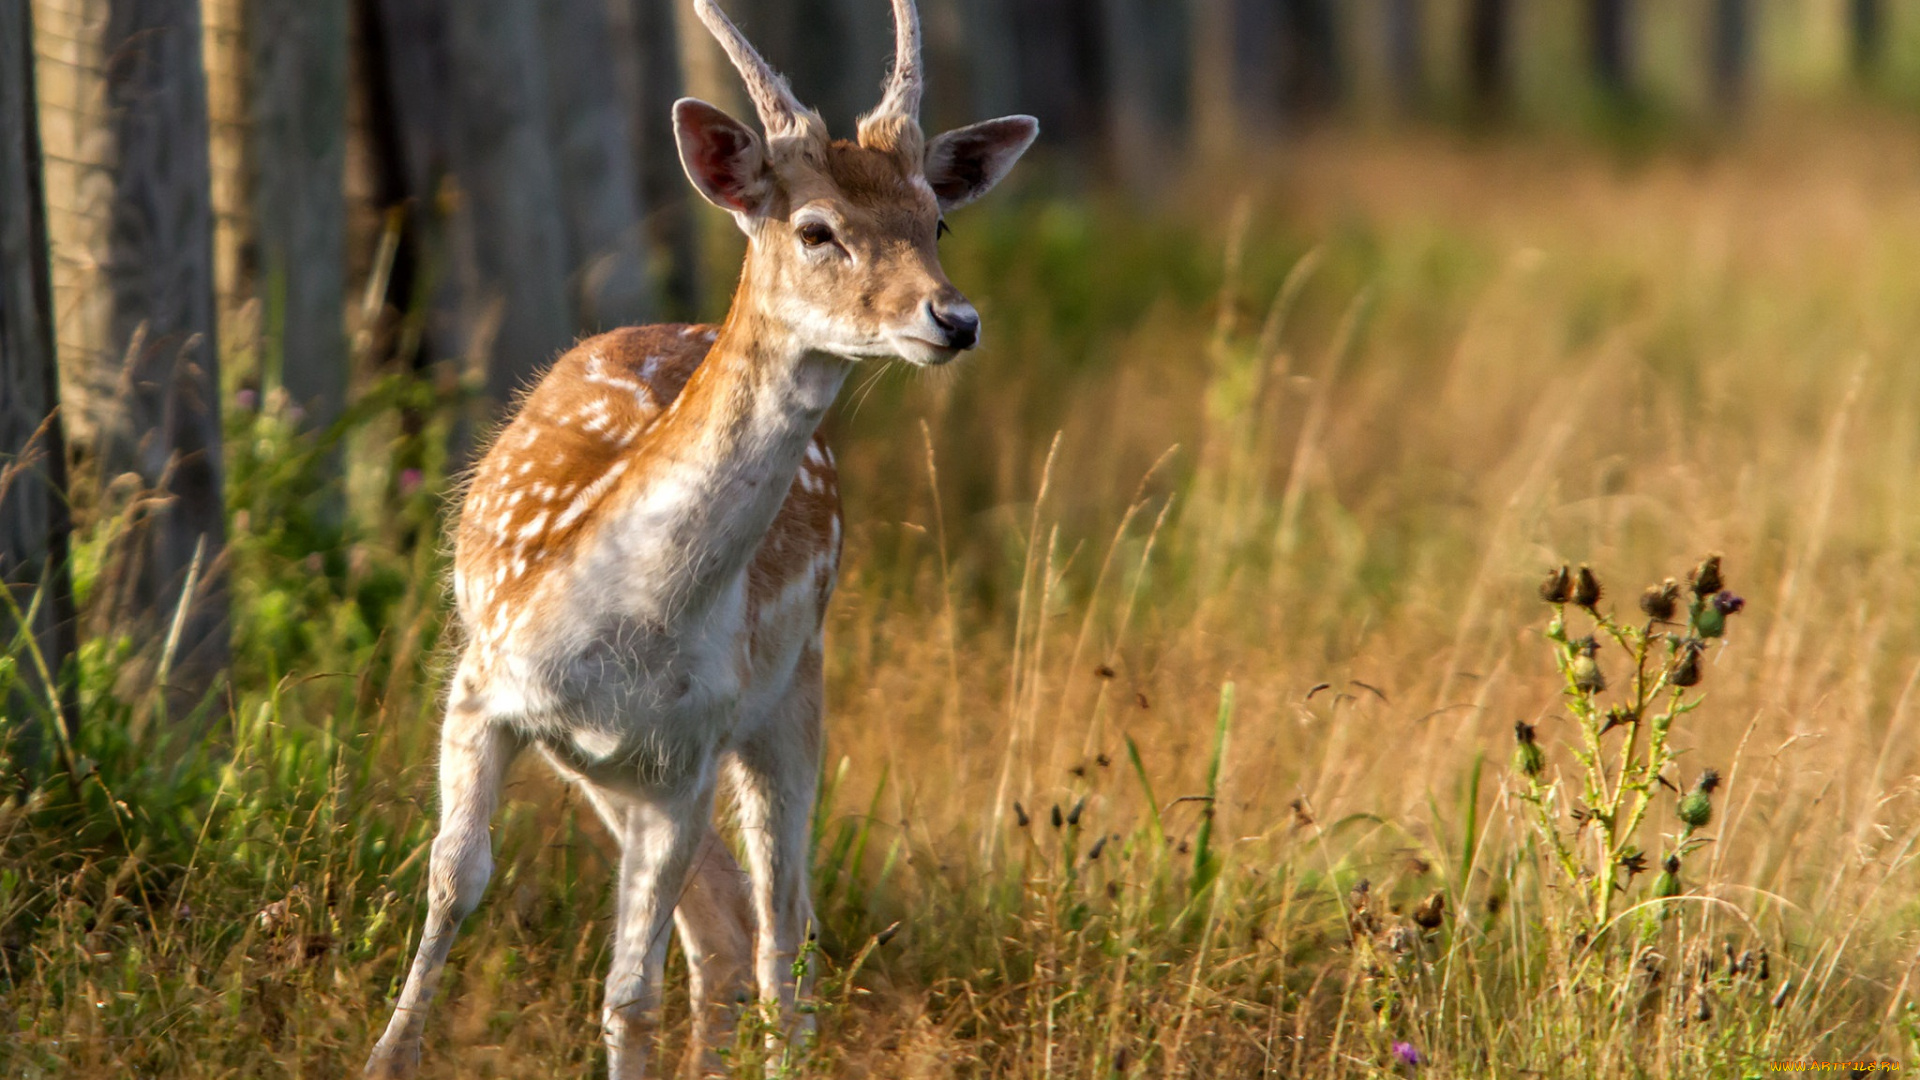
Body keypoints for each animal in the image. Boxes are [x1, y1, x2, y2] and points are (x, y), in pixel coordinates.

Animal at [366, 2, 1044, 1076]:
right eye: (817, 229)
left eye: (934, 220)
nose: (955, 317)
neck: (619, 622)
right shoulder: (482, 690)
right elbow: (451, 887)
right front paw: (386, 1053)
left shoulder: (683, 757)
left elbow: (629, 992)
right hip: (602, 766)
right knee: (727, 923)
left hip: (792, 691)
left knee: (778, 931)